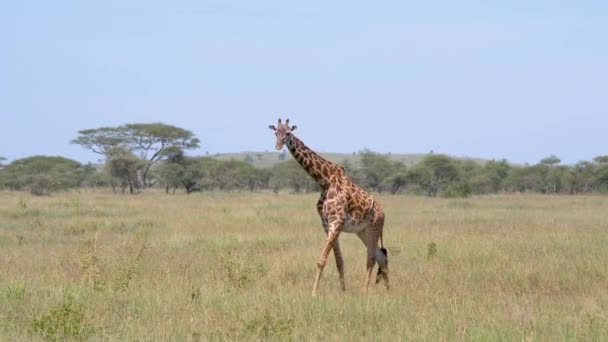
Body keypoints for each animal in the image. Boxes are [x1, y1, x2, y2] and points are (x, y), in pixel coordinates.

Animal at [270, 119, 392, 296]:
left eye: (288, 133)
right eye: (275, 132)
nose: (278, 145)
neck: (324, 181)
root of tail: (383, 213)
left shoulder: (336, 222)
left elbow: (321, 260)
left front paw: (314, 293)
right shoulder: (327, 224)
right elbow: (339, 260)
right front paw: (343, 291)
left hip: (374, 228)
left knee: (371, 258)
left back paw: (365, 291)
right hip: (362, 232)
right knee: (381, 256)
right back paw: (389, 290)